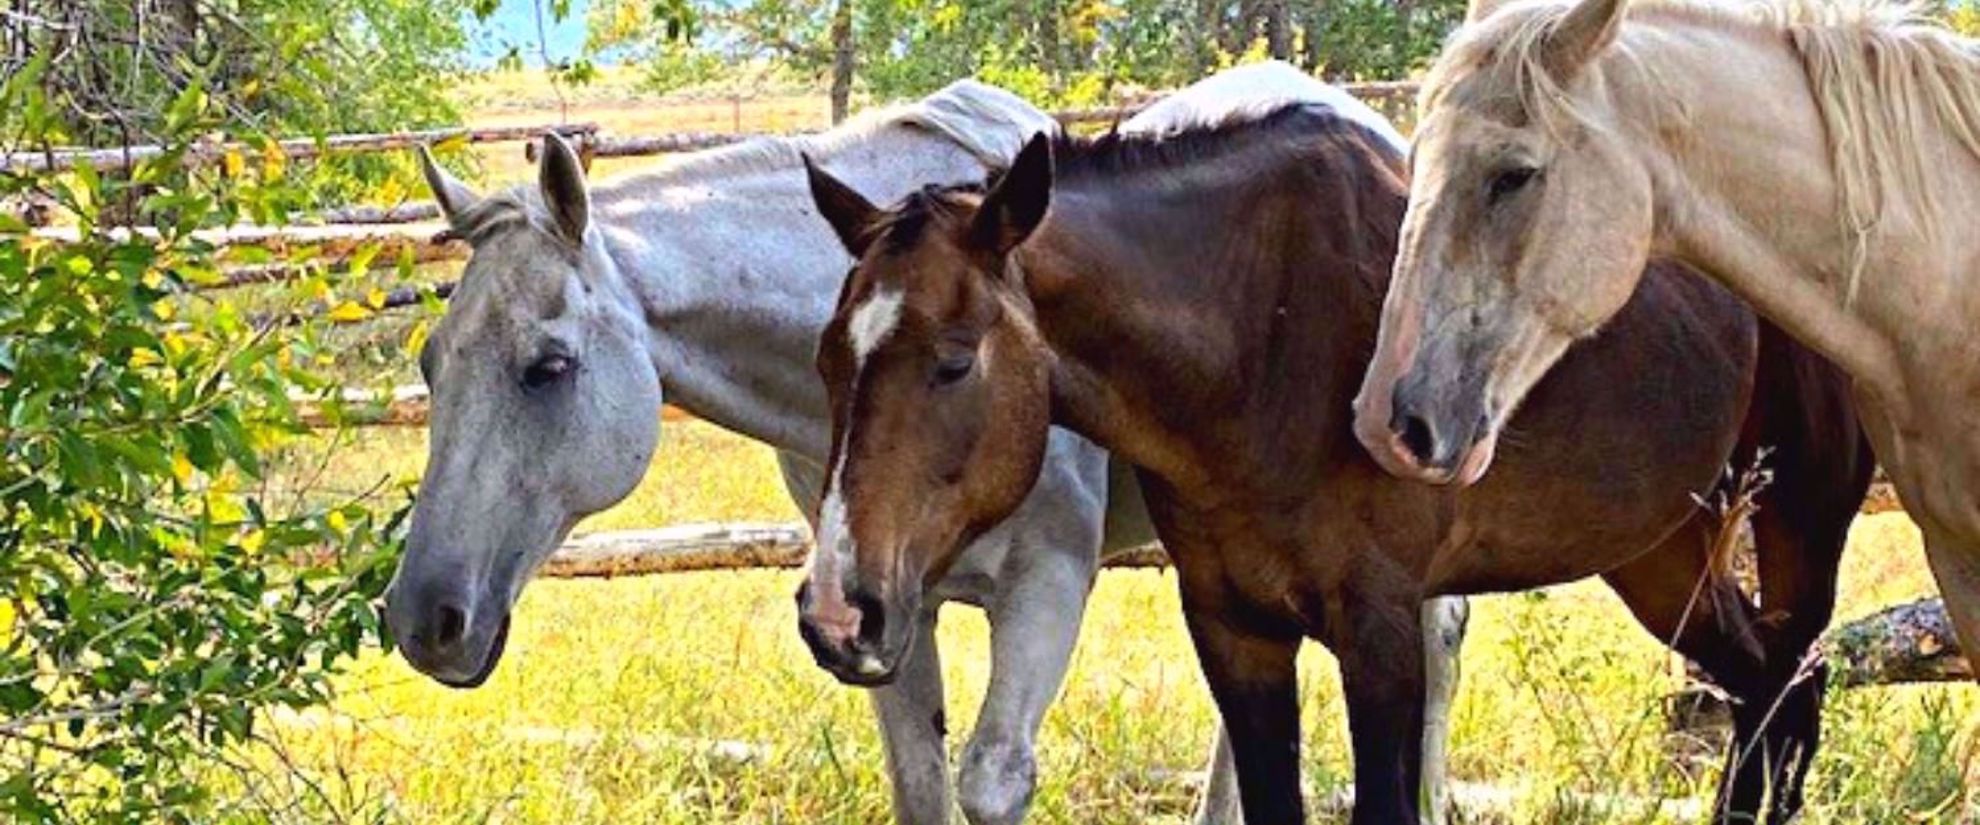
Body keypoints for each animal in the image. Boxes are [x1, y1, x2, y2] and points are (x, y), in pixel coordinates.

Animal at [378, 65, 1465, 823]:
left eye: (547, 365)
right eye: (430, 361)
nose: (426, 618)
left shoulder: (1044, 588)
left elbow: (991, 779)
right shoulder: (881, 613)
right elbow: (920, 783)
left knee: (1436, 647)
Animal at [788, 107, 1869, 823]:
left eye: (953, 361)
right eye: (827, 361)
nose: (841, 609)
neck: (1263, 339)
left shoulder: (1379, 627)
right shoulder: (1235, 629)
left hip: (1802, 521)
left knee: (1795, 684)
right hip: (1664, 549)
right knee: (1766, 689)